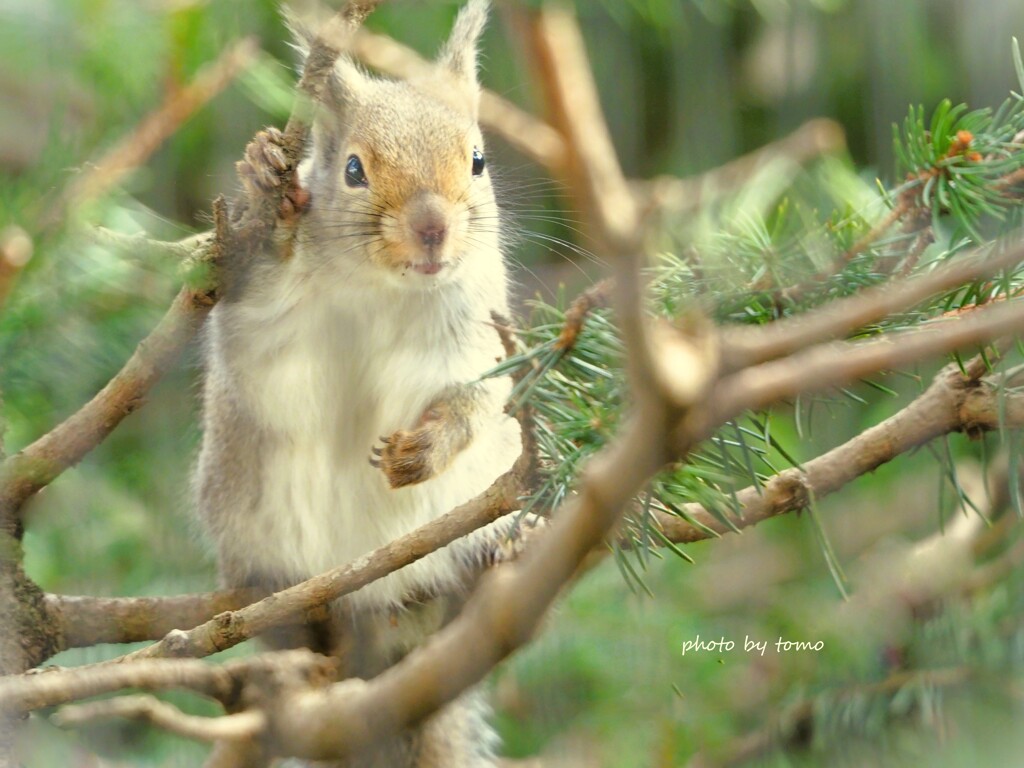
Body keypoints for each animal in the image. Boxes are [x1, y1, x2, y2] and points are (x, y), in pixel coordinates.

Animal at [193, 3, 528, 765]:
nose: (432, 228)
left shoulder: (479, 331)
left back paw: (508, 550)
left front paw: (421, 452)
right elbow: (258, 355)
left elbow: (477, 399)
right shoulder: (270, 330)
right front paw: (266, 179)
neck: (388, 288)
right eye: (352, 169)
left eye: (478, 160)